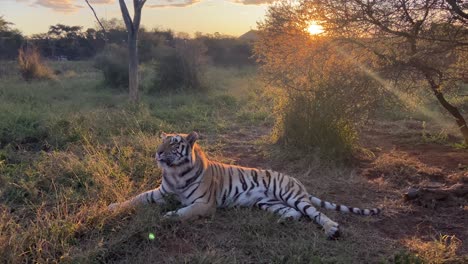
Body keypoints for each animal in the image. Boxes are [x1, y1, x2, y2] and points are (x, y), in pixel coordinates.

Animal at [109, 132, 380, 239]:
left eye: (174, 143)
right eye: (162, 142)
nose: (157, 153)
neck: (175, 173)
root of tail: (296, 181)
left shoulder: (204, 204)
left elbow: (182, 212)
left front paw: (166, 217)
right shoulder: (161, 192)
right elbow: (138, 197)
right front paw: (113, 207)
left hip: (290, 195)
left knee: (315, 213)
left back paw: (331, 229)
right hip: (268, 203)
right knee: (293, 213)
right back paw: (280, 222)